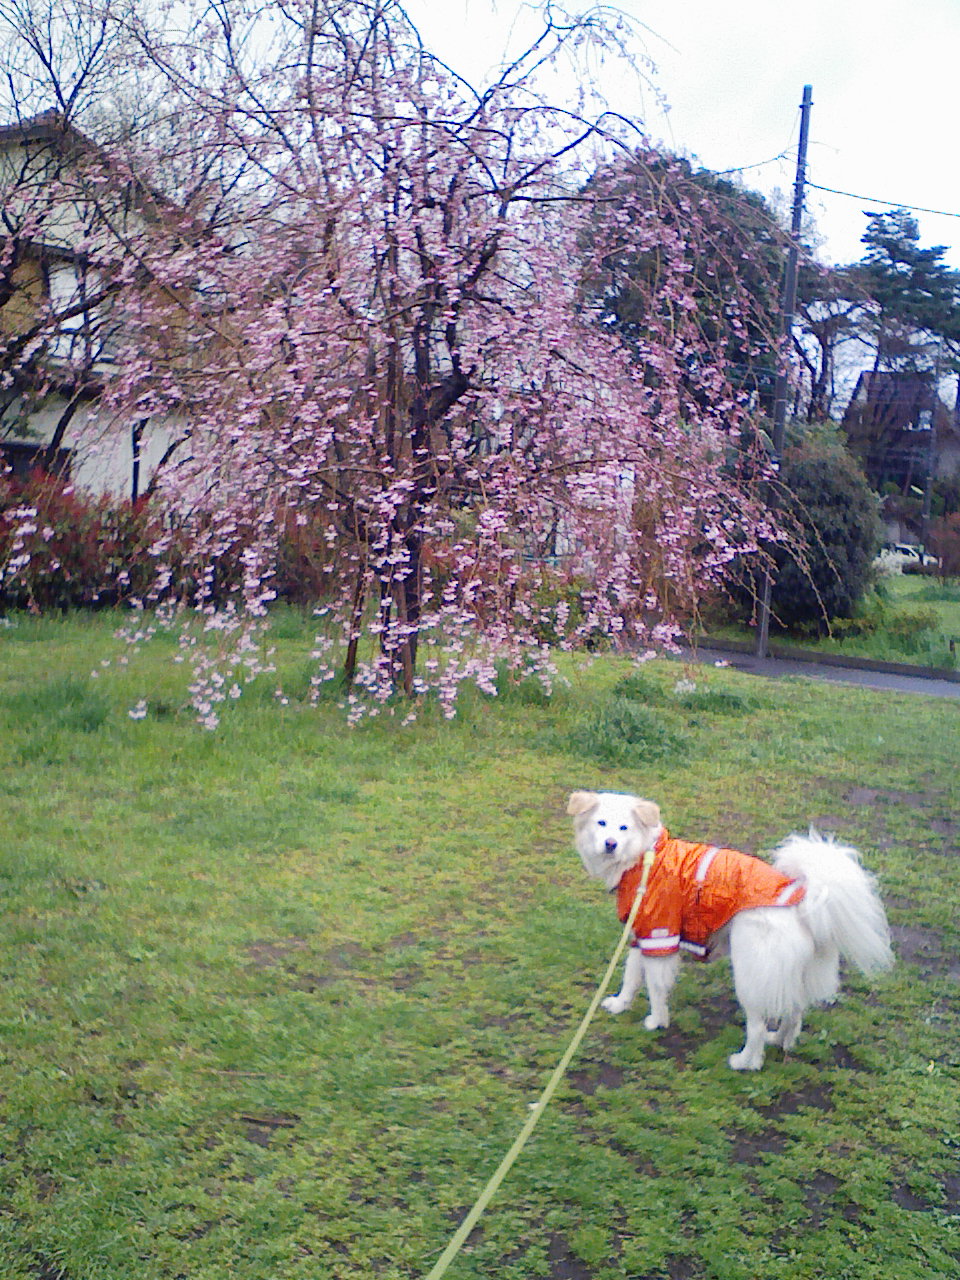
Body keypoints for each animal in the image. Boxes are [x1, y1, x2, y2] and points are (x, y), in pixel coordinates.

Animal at [570, 788, 896, 1070]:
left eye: (623, 828)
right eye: (601, 823)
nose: (610, 843)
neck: (646, 856)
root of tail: (802, 904)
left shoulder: (661, 936)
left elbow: (655, 987)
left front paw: (656, 1021)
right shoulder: (643, 935)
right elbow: (631, 976)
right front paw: (620, 1004)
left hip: (750, 975)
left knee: (757, 1026)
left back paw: (745, 1062)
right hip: (792, 975)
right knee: (794, 1012)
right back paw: (780, 1040)